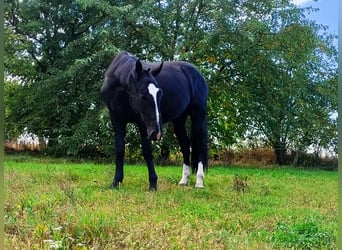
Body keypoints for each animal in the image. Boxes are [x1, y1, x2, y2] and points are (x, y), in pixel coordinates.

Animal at [100, 51, 208, 191]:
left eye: (160, 93)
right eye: (142, 94)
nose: (157, 133)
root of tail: (196, 73)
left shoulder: (142, 123)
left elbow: (147, 151)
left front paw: (153, 184)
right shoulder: (116, 120)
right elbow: (119, 149)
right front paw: (116, 182)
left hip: (198, 115)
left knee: (200, 145)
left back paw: (199, 182)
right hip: (179, 120)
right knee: (185, 145)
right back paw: (184, 180)